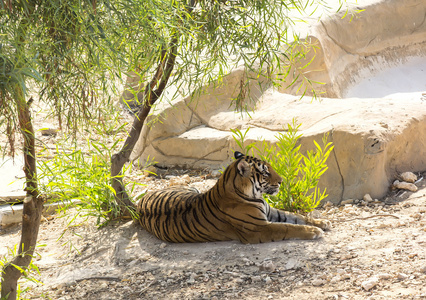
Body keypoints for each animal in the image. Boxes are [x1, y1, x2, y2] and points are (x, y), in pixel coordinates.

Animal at [136, 151, 330, 243]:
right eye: (265, 173)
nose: (282, 181)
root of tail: (141, 202)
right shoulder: (258, 228)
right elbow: (288, 227)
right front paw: (314, 231)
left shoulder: (271, 212)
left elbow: (297, 217)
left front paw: (322, 222)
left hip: (192, 188)